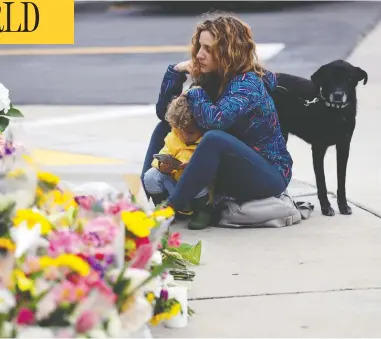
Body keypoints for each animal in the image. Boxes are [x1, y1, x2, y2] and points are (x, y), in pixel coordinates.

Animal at [268, 59, 366, 216]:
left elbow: (341, 179)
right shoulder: (318, 149)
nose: (338, 95)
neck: (335, 112)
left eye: (349, 78)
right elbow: (321, 181)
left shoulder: (344, 146)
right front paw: (326, 207)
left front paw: (343, 206)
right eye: (329, 77)